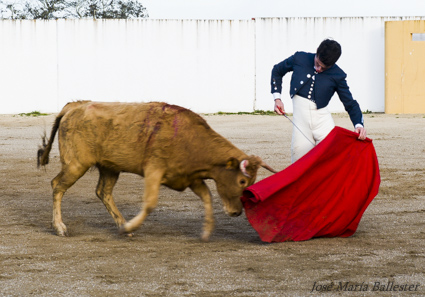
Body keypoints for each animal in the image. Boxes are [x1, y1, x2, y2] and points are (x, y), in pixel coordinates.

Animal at [37, 100, 274, 239]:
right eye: (242, 181)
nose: (236, 212)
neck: (192, 140)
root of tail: (75, 106)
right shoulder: (154, 170)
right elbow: (150, 203)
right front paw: (133, 226)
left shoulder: (189, 177)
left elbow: (207, 196)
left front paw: (207, 230)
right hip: (76, 164)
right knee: (57, 185)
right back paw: (60, 227)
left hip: (109, 167)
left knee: (103, 192)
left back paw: (122, 225)